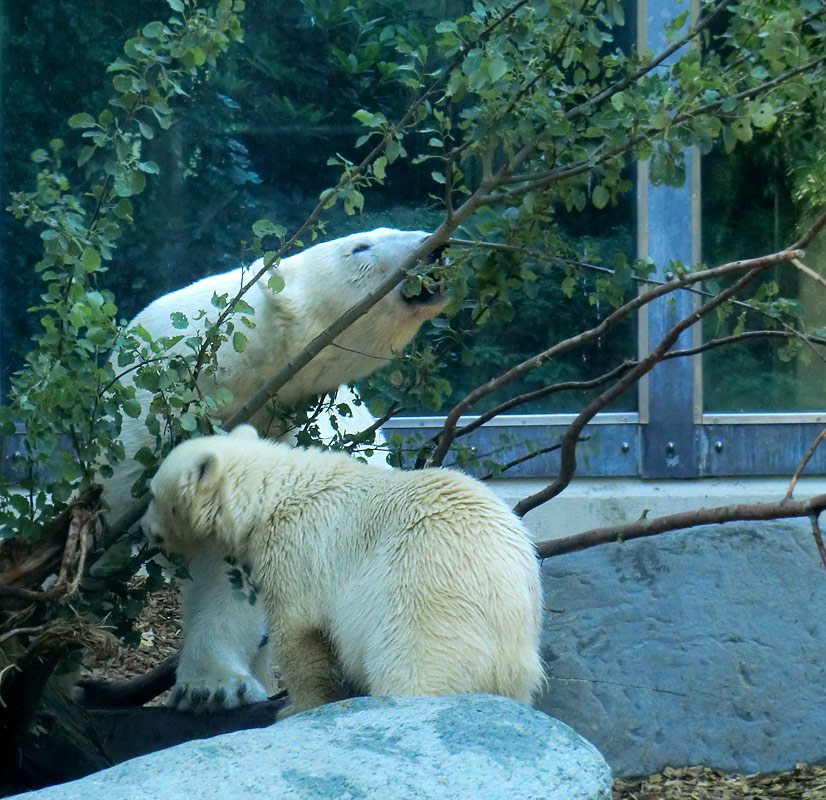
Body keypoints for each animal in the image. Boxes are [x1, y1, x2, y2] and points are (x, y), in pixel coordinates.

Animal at [107, 228, 448, 708]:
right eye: (360, 246)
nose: (434, 245)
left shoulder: (280, 434)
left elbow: (232, 570)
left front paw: (212, 687)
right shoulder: (139, 419)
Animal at [139, 424, 544, 712]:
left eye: (152, 495)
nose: (142, 528)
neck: (272, 493)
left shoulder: (297, 548)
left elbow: (300, 632)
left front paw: (295, 708)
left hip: (425, 596)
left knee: (416, 666)